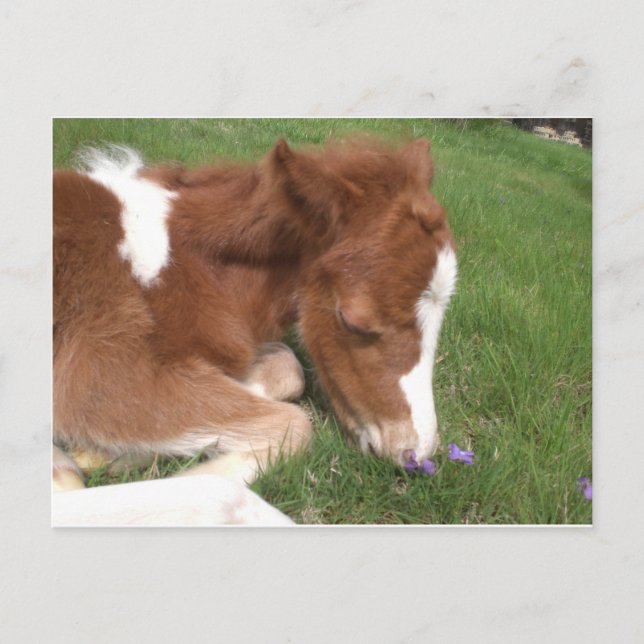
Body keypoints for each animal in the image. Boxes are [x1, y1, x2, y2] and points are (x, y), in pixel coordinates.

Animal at [52, 135, 456, 524]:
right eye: (351, 320)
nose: (415, 454)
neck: (184, 265)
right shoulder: (100, 375)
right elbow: (281, 437)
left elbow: (288, 368)